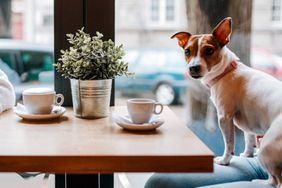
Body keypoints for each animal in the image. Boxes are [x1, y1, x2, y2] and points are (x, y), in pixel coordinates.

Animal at [172, 17, 282, 187]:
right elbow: (249, 139)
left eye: (209, 50)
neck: (226, 71)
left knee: (275, 181)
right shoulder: (248, 125)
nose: (193, 68)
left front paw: (224, 161)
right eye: (187, 51)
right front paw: (247, 154)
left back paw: (260, 182)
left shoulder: (224, 118)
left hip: (267, 148)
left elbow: (229, 144)